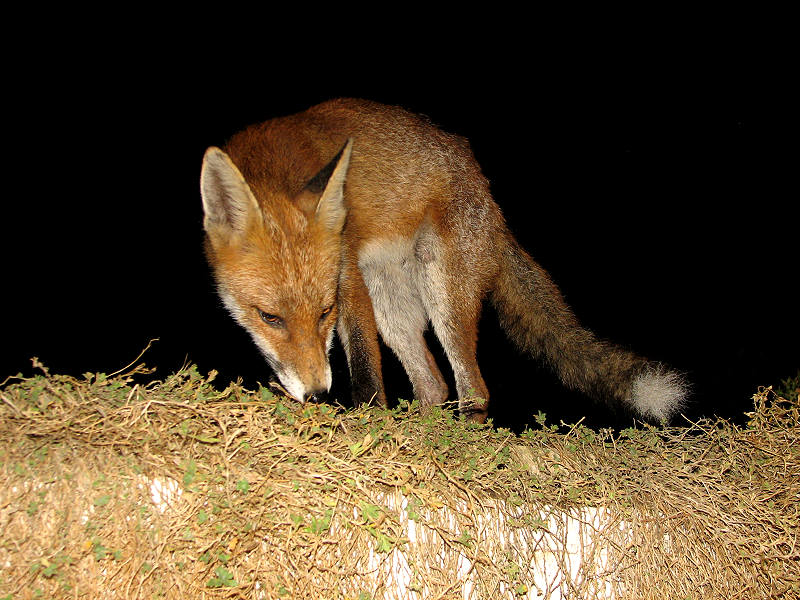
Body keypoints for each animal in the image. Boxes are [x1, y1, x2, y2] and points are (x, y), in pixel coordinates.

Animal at [200, 98, 688, 424]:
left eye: (325, 313)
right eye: (269, 317)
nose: (319, 393)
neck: (274, 168)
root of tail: (493, 205)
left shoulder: (346, 275)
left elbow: (364, 370)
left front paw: (365, 421)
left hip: (441, 292)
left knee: (473, 389)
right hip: (392, 307)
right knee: (433, 386)